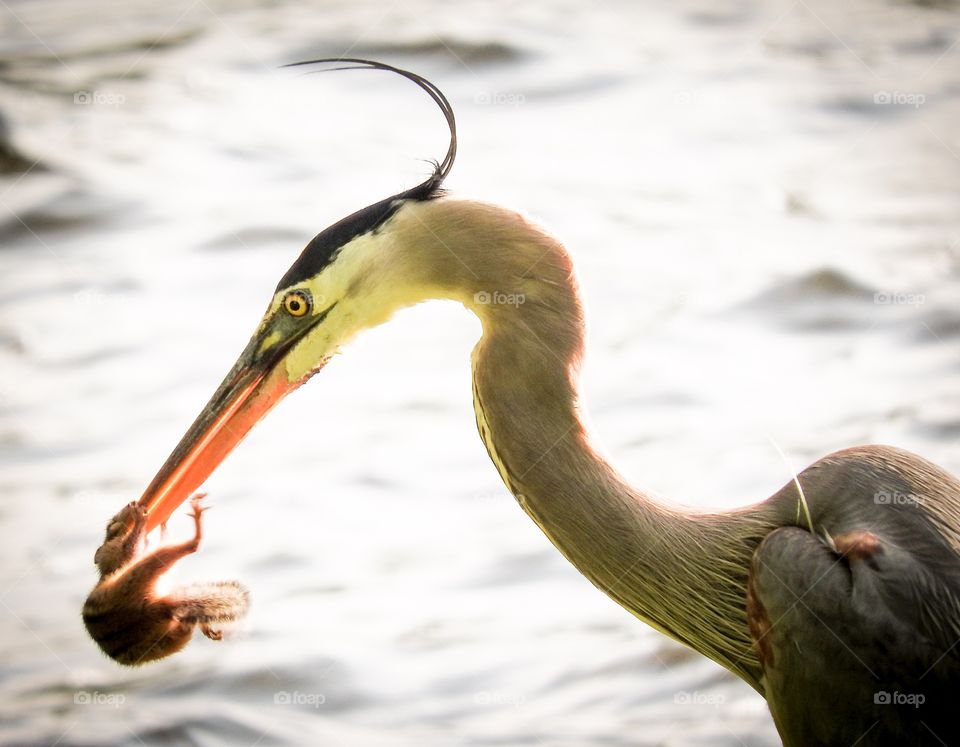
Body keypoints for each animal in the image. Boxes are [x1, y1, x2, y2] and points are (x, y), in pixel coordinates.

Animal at [83, 495, 249, 665]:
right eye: (111, 524)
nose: (128, 504)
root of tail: (158, 608)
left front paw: (163, 521)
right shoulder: (122, 554)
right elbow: (132, 548)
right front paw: (139, 517)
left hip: (174, 636)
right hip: (141, 573)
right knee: (191, 546)